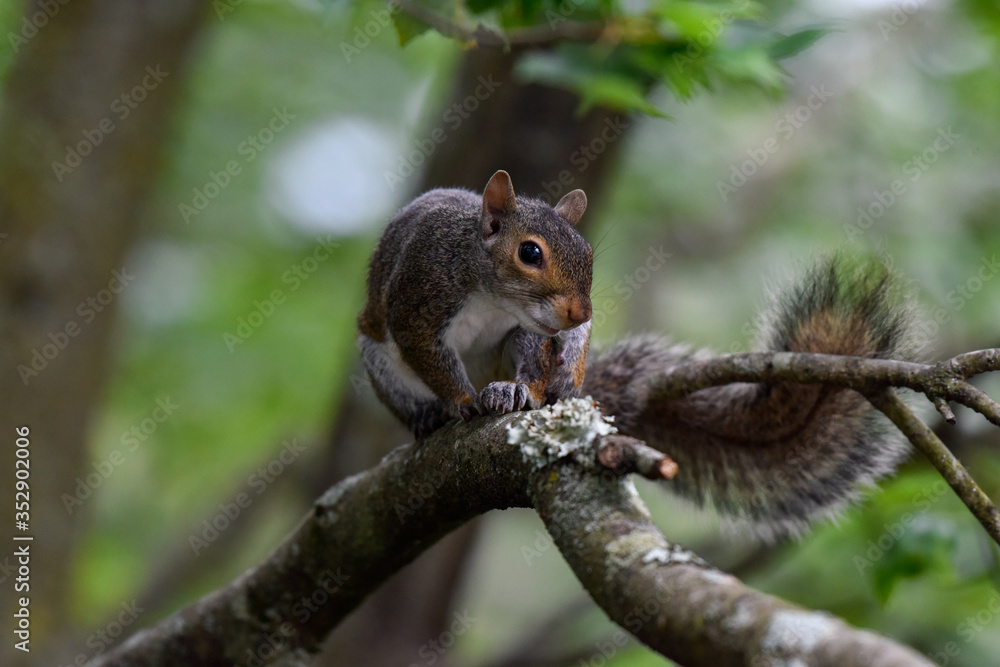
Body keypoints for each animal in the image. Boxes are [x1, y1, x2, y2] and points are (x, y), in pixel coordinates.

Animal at [360, 170, 592, 440]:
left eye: (588, 253)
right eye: (530, 252)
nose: (582, 314)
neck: (493, 301)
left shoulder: (531, 324)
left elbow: (536, 355)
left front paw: (526, 389)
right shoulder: (417, 301)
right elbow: (427, 355)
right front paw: (466, 400)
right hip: (381, 364)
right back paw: (427, 415)